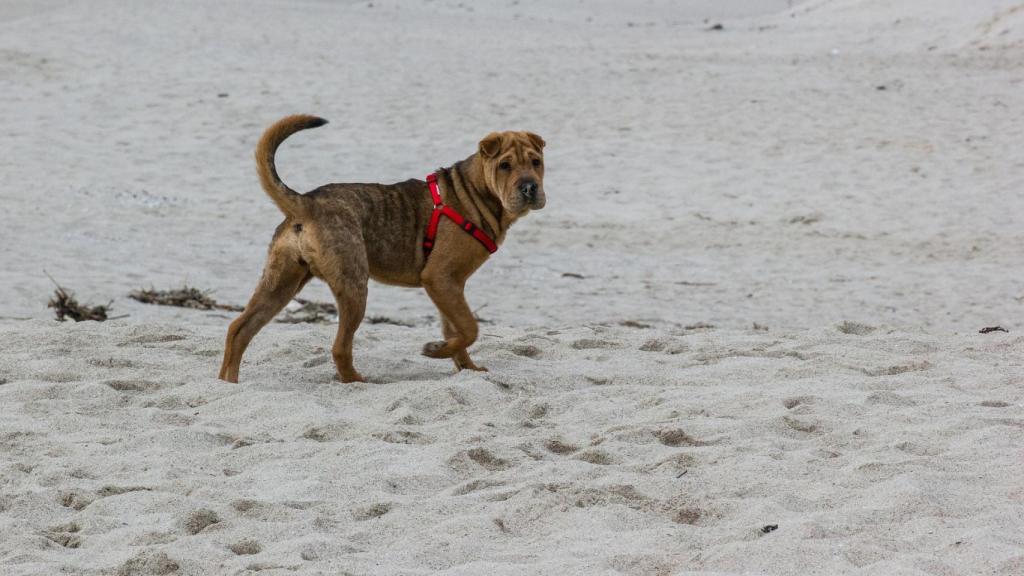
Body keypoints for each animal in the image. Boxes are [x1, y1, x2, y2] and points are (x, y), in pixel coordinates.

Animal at [220, 114, 548, 381]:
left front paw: (465, 367)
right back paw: (357, 381)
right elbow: (470, 328)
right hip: (353, 285)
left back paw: (229, 383)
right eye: (504, 166)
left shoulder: (450, 285)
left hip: (281, 283)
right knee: (339, 348)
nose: (530, 187)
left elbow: (457, 330)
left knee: (239, 329)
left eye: (536, 162)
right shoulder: (440, 278)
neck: (475, 192)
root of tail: (307, 203)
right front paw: (437, 351)